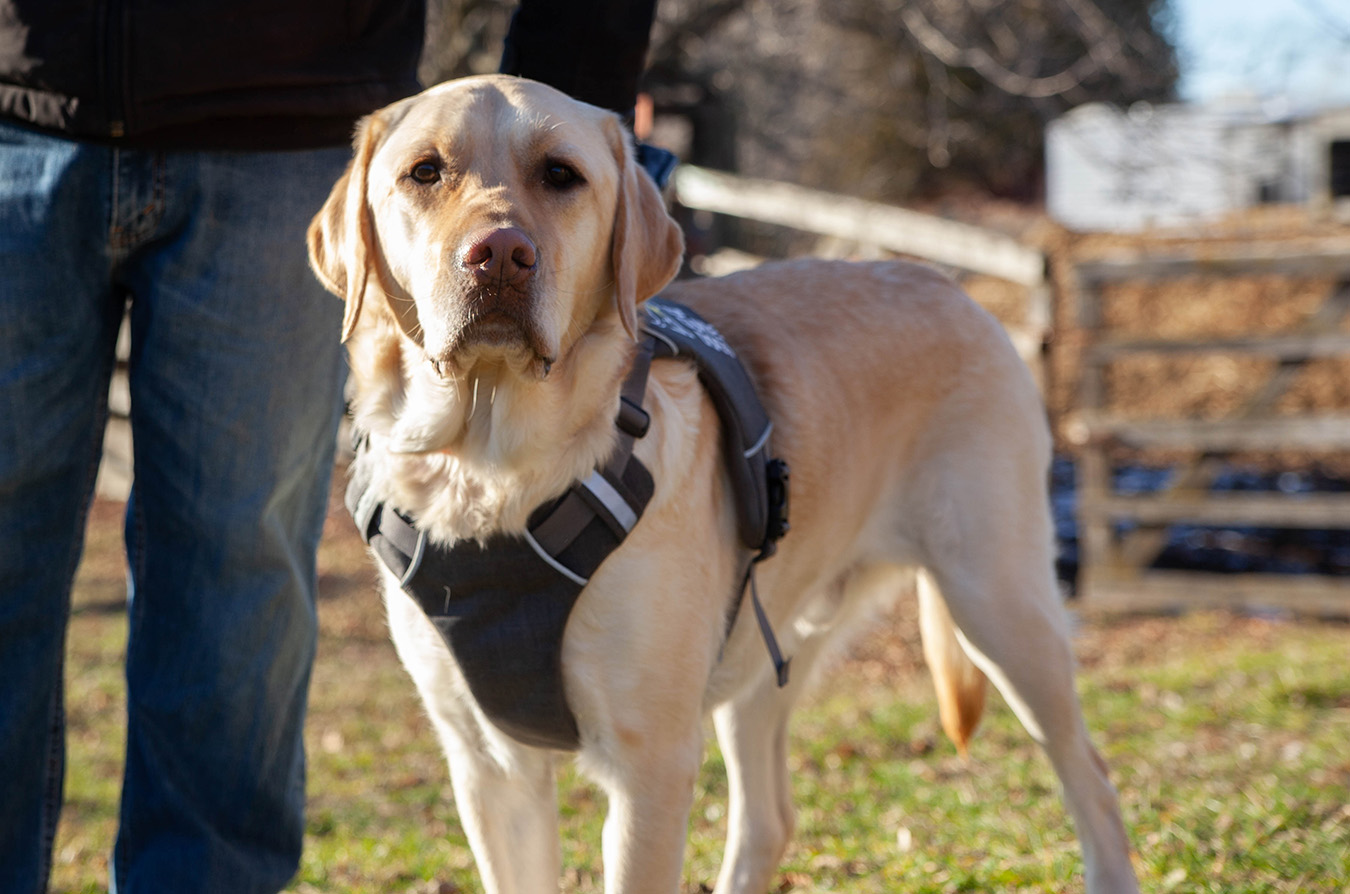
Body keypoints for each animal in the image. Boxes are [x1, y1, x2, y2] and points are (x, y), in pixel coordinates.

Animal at [309, 76, 1139, 894]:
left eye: (560, 175)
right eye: (424, 172)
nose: (501, 254)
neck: (485, 469)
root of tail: (952, 286)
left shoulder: (650, 766)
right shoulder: (489, 771)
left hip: (999, 605)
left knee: (1094, 779)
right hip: (763, 656)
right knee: (770, 820)